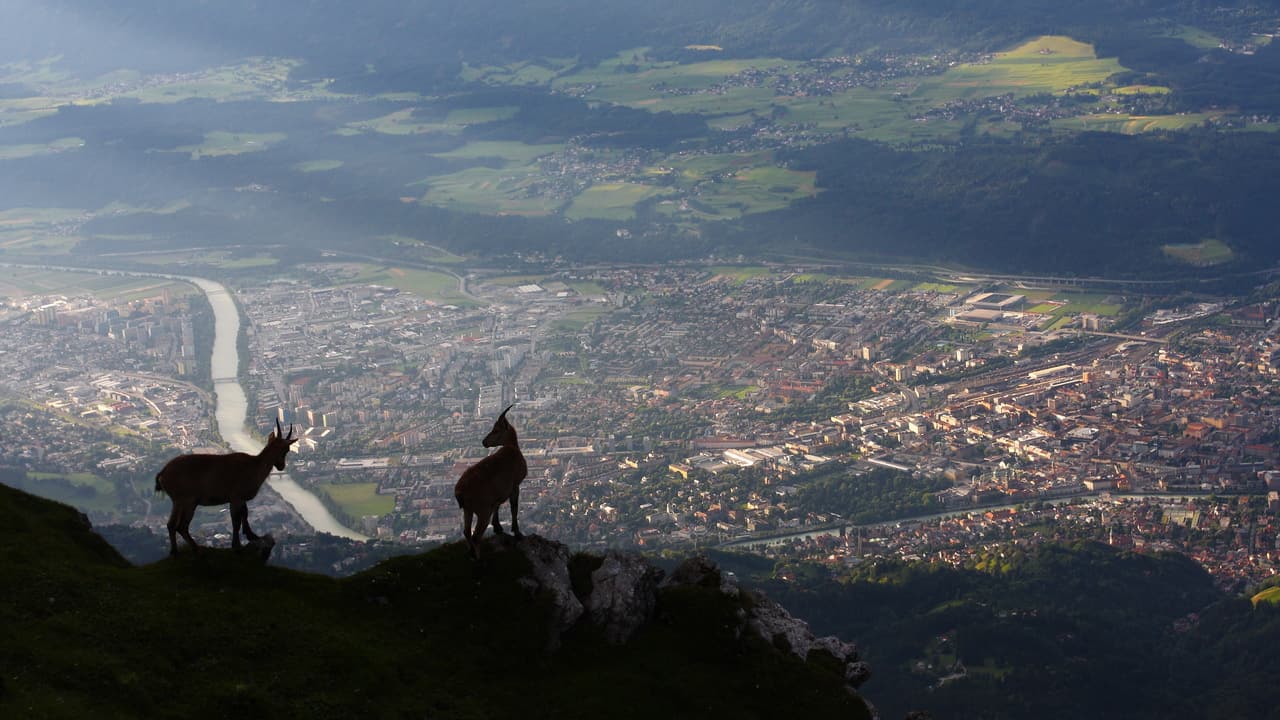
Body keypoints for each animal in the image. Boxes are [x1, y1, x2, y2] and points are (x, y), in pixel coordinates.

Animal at [155, 420, 298, 556]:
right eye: (283, 449)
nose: (281, 466)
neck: (254, 467)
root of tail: (162, 473)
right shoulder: (235, 498)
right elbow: (236, 521)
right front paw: (237, 546)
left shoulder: (241, 499)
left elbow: (245, 514)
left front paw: (251, 535)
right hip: (187, 501)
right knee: (181, 525)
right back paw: (196, 549)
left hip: (179, 502)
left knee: (172, 524)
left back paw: (175, 551)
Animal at [454, 404, 527, 558]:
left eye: (496, 430)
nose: (484, 442)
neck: (512, 449)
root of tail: (459, 492)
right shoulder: (515, 485)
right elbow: (514, 507)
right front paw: (517, 532)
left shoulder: (498, 493)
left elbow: (498, 505)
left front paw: (498, 527)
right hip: (482, 511)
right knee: (476, 536)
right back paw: (478, 558)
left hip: (468, 510)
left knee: (467, 531)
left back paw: (471, 553)